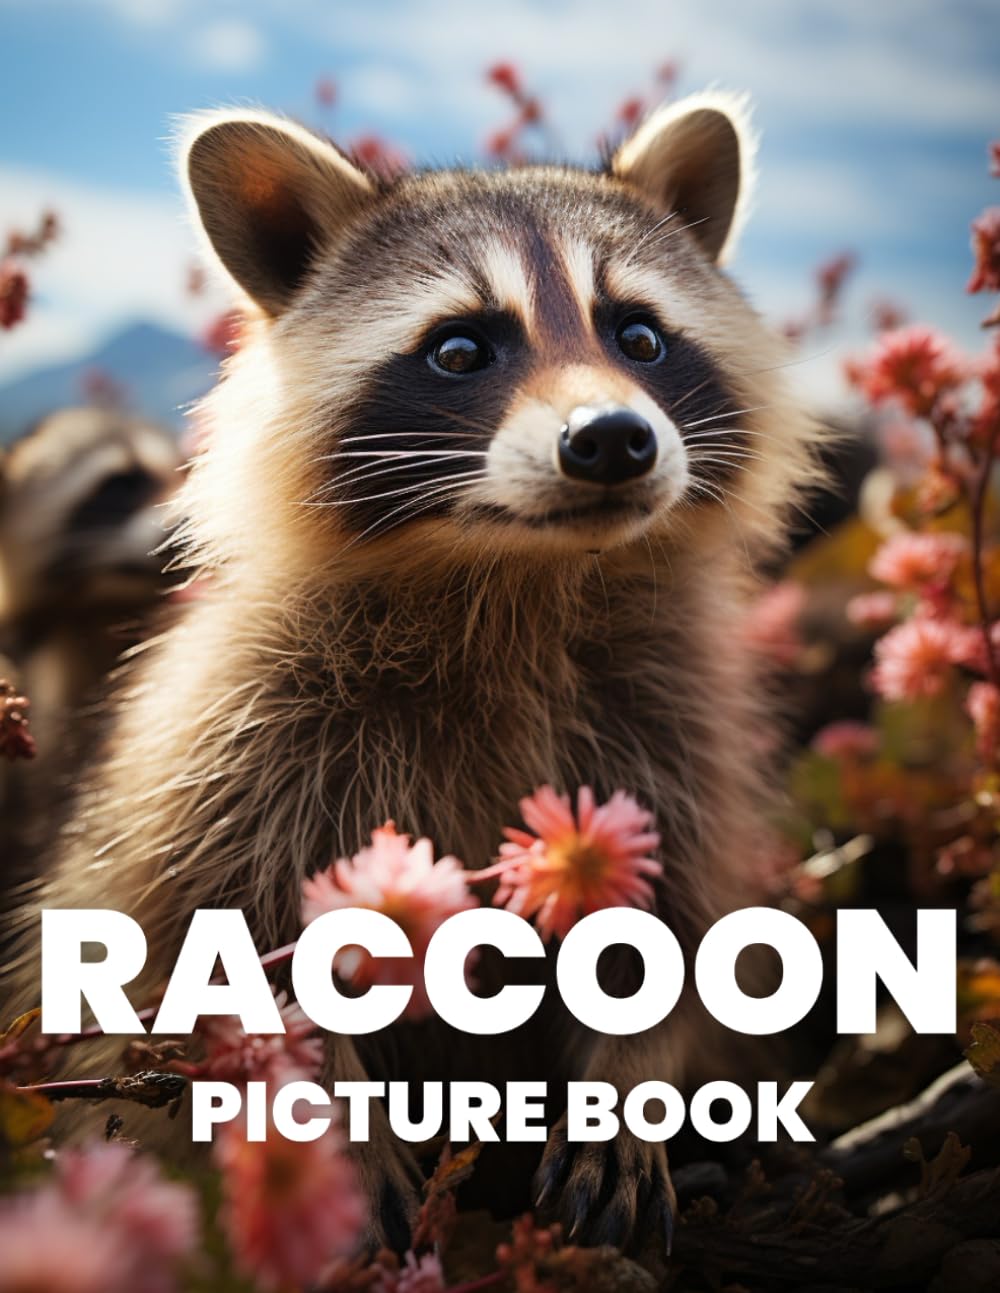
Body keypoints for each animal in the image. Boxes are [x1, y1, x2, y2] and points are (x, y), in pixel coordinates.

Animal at [6, 94, 820, 1254]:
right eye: (460, 347)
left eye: (640, 335)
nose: (613, 440)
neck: (519, 576)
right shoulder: (239, 741)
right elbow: (222, 944)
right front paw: (326, 1120)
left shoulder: (671, 721)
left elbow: (676, 929)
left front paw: (627, 1089)